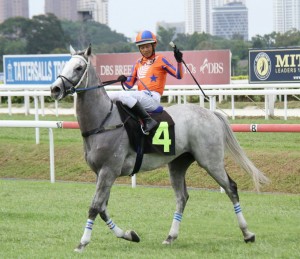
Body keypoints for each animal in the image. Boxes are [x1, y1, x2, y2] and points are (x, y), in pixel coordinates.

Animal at [50, 45, 268, 254]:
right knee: (182, 197)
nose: (55, 89)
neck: (104, 120)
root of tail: (210, 113)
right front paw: (130, 235)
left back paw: (247, 233)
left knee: (231, 188)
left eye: (78, 68)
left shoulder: (109, 171)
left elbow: (95, 207)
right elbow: (103, 208)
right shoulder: (100, 173)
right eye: (65, 65)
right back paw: (170, 237)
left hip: (211, 161)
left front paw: (82, 243)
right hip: (178, 163)